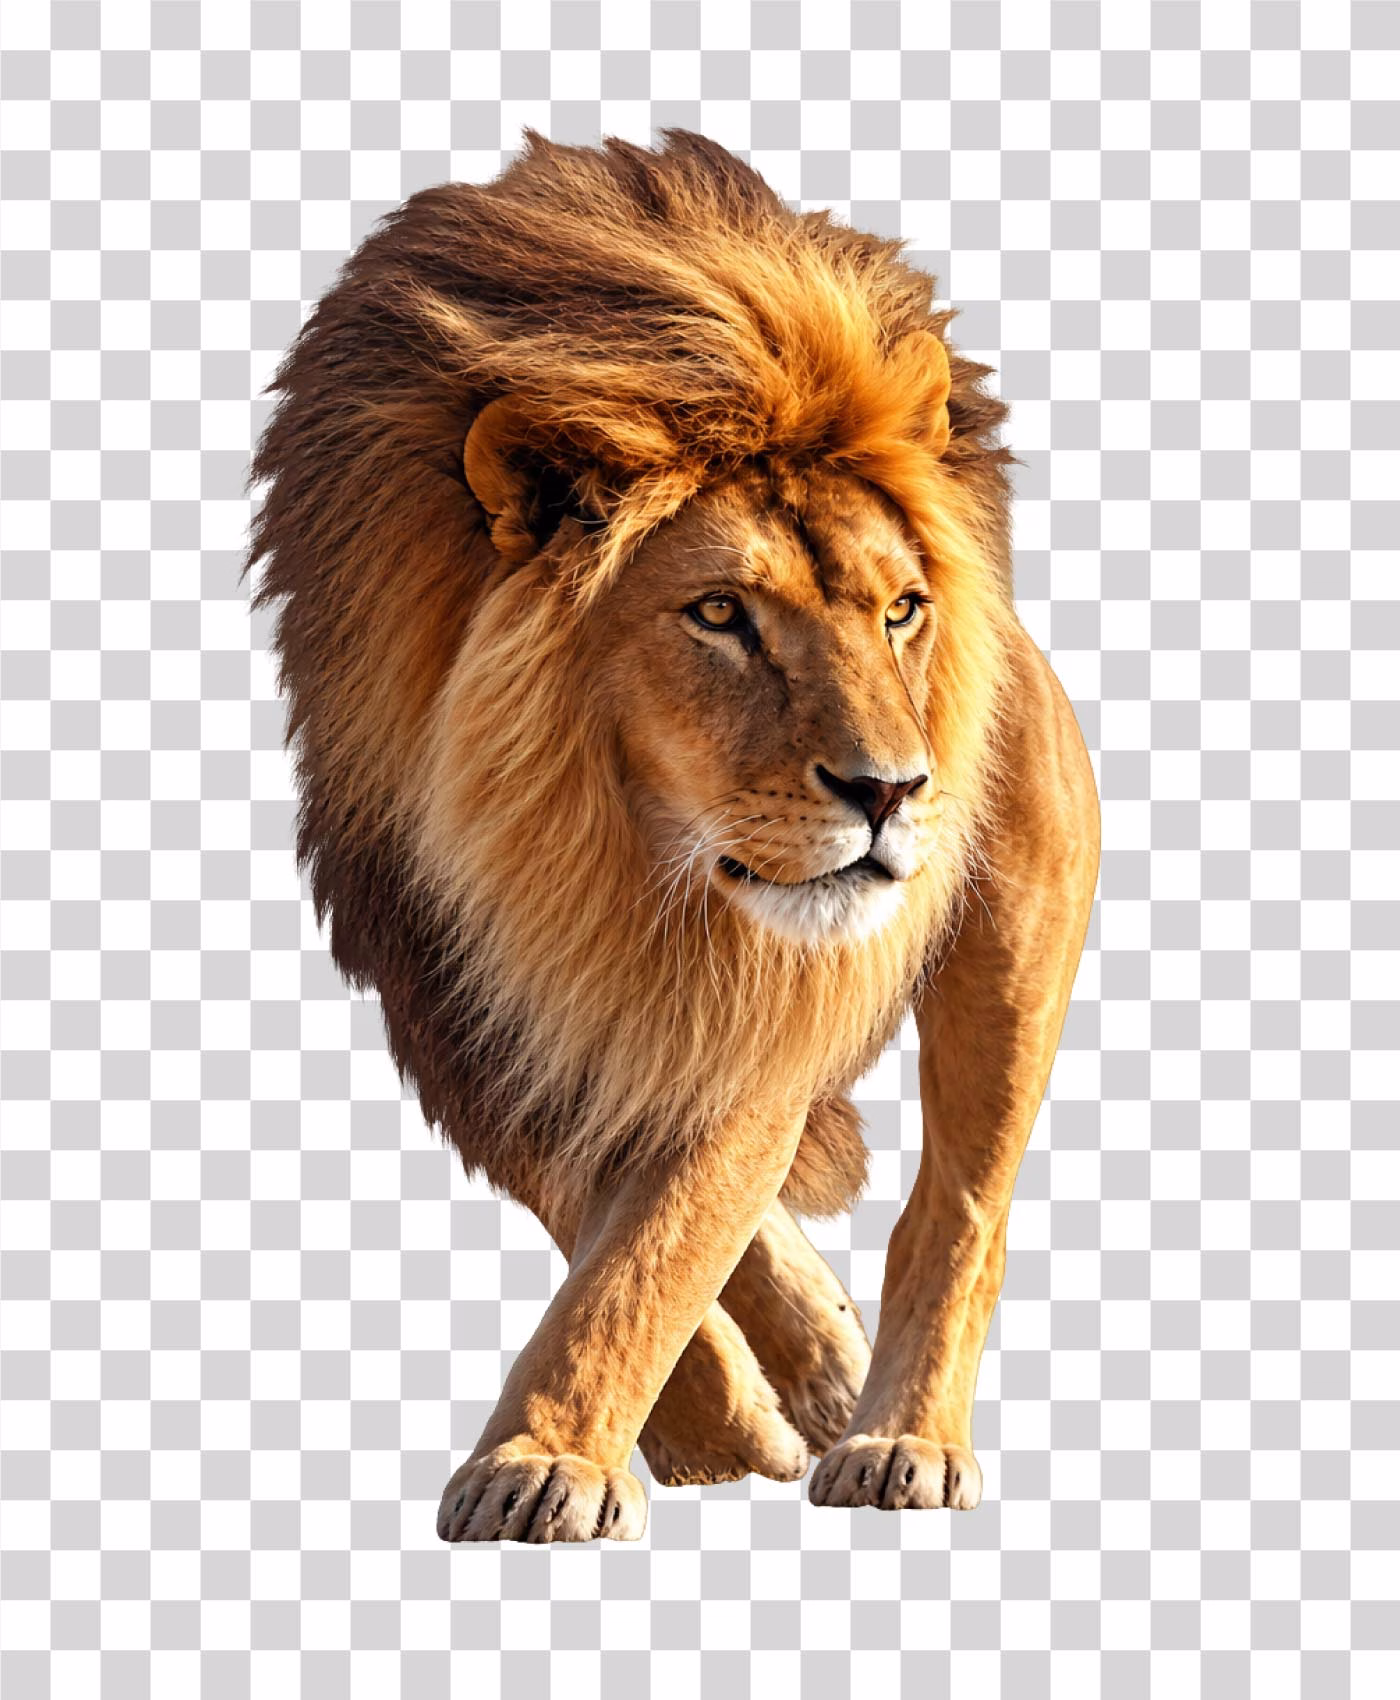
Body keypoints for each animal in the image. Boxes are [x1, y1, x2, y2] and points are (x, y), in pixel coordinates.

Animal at [246, 129, 1100, 1543]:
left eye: (899, 610)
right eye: (716, 613)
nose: (890, 788)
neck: (590, 844)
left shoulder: (753, 991)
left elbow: (655, 1240)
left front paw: (545, 1459)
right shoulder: (441, 988)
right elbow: (610, 1212)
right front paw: (712, 1429)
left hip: (1016, 936)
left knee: (957, 1208)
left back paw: (898, 1439)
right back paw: (820, 1364)